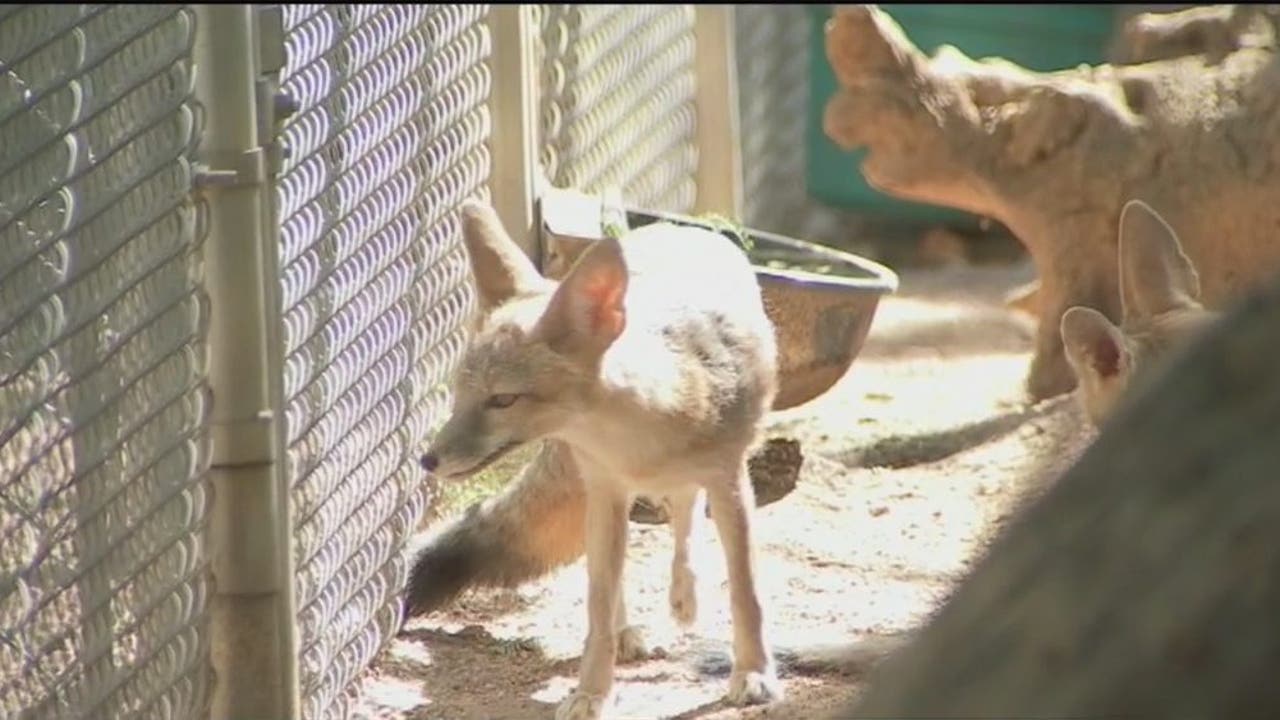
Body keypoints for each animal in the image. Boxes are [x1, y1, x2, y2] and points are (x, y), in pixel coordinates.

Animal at [418, 201, 784, 719]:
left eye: (502, 400)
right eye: (459, 396)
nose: (428, 460)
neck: (646, 435)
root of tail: (683, 229)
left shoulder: (730, 481)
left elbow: (745, 592)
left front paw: (753, 673)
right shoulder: (607, 491)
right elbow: (598, 603)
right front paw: (592, 691)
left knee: (685, 516)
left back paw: (684, 597)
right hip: (602, 504)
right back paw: (629, 629)